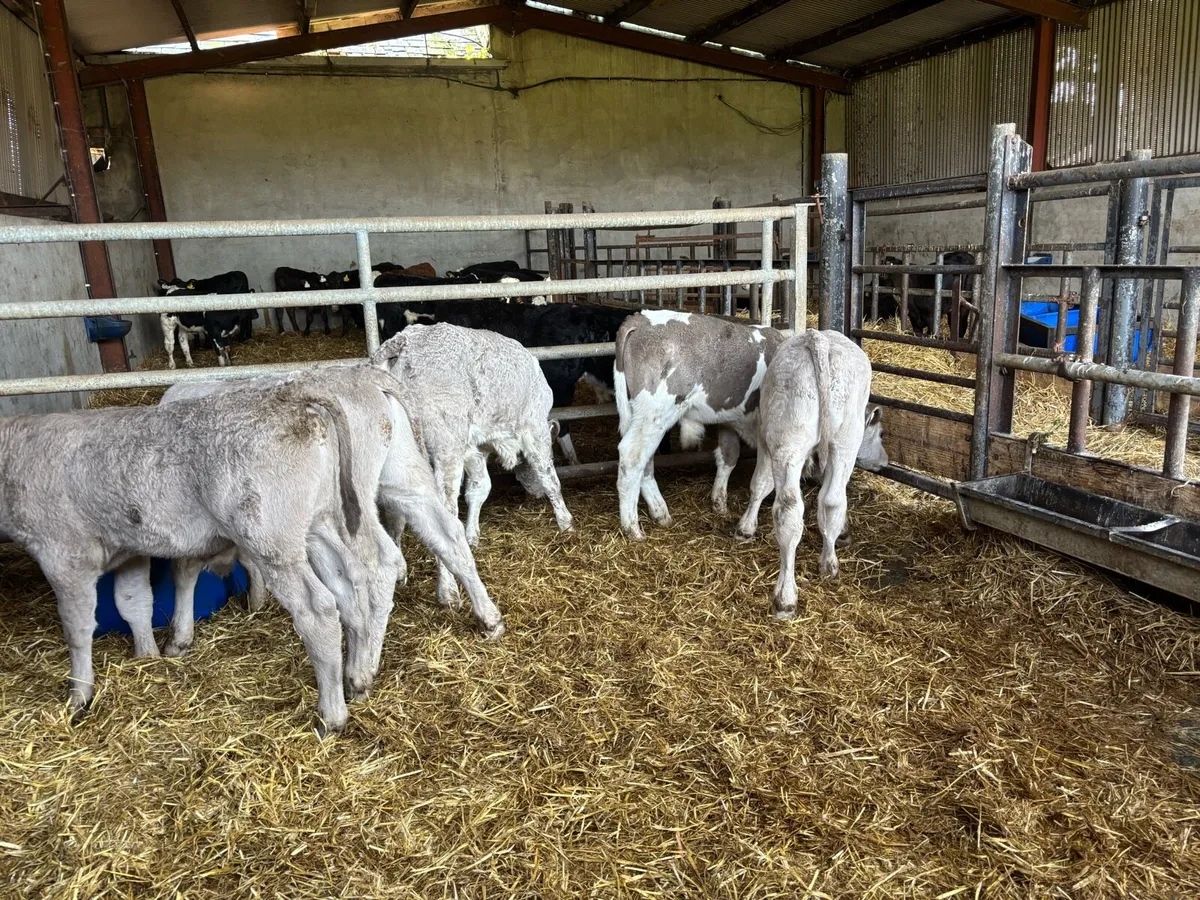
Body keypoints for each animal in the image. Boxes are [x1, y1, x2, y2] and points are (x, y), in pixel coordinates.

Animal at [0, 368, 409, 735]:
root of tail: (293, 393)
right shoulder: (129, 550)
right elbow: (133, 602)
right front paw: (148, 655)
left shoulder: (64, 555)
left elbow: (77, 626)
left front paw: (79, 695)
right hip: (320, 524)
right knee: (350, 585)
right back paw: (357, 679)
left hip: (270, 538)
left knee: (319, 609)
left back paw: (331, 716)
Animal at [371, 323, 573, 611]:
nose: (533, 495)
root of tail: (405, 341)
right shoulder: (533, 429)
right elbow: (550, 478)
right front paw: (566, 523)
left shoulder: (473, 448)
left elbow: (479, 489)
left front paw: (472, 535)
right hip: (446, 448)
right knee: (443, 515)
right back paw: (448, 591)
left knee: (394, 514)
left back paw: (399, 572)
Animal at [613, 311, 786, 540]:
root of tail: (640, 319)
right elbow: (765, 479)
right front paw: (747, 527)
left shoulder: (728, 420)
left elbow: (728, 456)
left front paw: (719, 503)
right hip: (655, 413)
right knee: (632, 457)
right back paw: (632, 528)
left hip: (642, 416)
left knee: (645, 462)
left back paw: (660, 513)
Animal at [733, 331, 888, 619]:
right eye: (881, 433)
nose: (885, 462)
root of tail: (820, 339)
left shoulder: (765, 438)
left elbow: (760, 484)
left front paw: (746, 528)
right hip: (844, 442)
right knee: (832, 501)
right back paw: (826, 566)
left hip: (789, 443)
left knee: (794, 509)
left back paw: (786, 596)